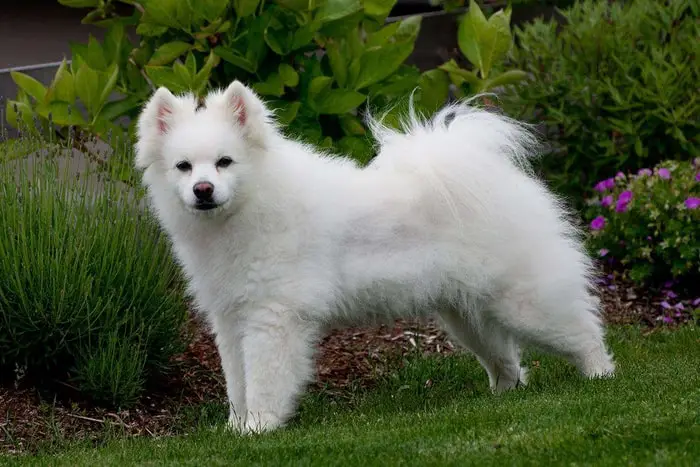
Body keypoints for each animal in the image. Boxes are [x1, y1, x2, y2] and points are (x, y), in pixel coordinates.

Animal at [134, 80, 616, 436]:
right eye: (184, 167)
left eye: (224, 162)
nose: (203, 190)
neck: (251, 207)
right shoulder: (232, 320)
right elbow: (238, 383)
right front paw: (236, 427)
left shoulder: (274, 319)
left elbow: (265, 381)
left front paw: (260, 428)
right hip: (468, 316)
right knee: (508, 361)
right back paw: (502, 397)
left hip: (525, 303)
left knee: (584, 333)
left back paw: (601, 377)